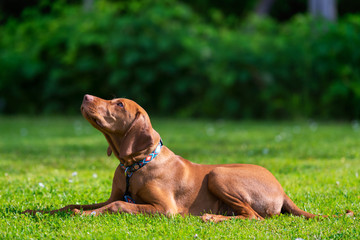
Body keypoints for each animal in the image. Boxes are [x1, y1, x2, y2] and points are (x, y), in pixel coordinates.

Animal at [22, 94, 352, 222]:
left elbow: (116, 206)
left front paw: (86, 215)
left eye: (118, 104)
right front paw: (37, 211)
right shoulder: (116, 193)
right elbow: (74, 203)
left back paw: (211, 218)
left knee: (254, 217)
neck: (135, 165)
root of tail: (283, 191)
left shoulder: (164, 208)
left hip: (220, 174)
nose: (85, 97)